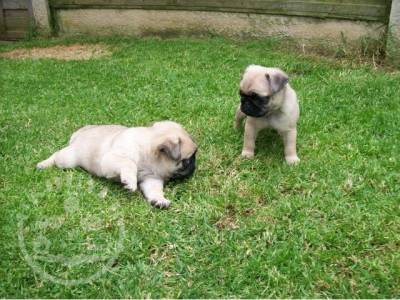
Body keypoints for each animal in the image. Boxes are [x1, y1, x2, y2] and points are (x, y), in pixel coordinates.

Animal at [38, 120, 198, 207]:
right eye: (188, 160)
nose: (194, 166)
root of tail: (80, 133)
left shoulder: (151, 179)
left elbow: (154, 190)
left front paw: (159, 200)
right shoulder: (111, 160)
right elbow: (128, 163)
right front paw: (129, 181)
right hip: (68, 160)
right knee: (57, 156)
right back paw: (44, 164)